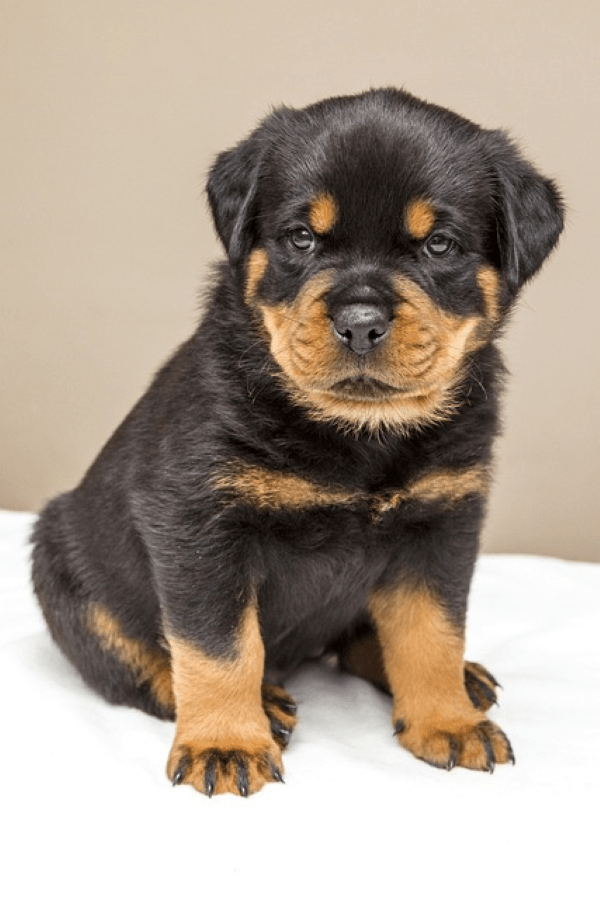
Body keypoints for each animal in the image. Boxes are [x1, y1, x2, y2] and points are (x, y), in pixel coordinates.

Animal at [32, 88, 564, 800]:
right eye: (301, 238)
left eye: (439, 245)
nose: (360, 322)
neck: (359, 432)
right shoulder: (198, 524)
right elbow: (217, 646)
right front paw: (226, 740)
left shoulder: (443, 520)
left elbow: (432, 631)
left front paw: (447, 719)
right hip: (62, 567)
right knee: (138, 661)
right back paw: (262, 701)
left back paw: (461, 683)